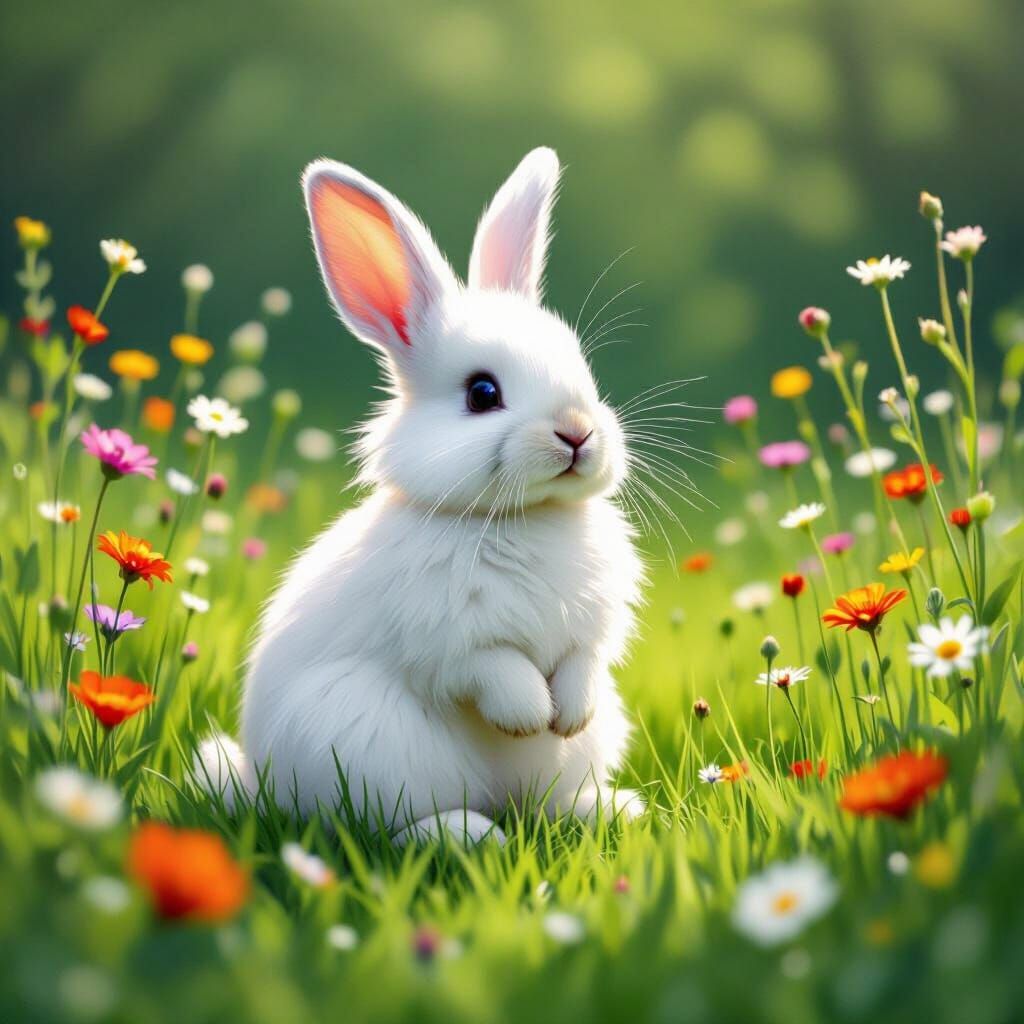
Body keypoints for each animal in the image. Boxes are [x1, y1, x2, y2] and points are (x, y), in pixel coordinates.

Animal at [197, 148, 646, 844]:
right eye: (482, 394)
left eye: (583, 372)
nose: (577, 431)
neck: (521, 516)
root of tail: (260, 783)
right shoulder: (452, 642)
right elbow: (496, 671)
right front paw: (529, 715)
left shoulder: (591, 634)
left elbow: (583, 665)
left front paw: (566, 714)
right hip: (367, 742)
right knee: (393, 827)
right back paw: (471, 835)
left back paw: (609, 810)